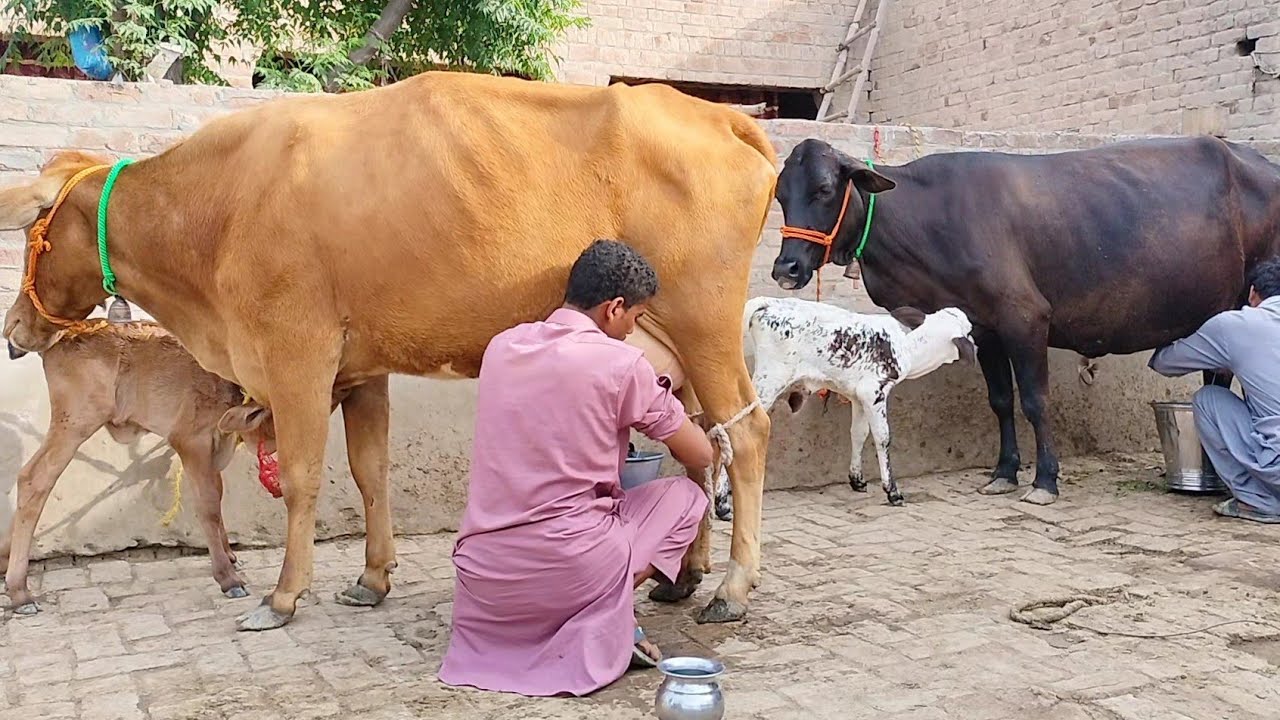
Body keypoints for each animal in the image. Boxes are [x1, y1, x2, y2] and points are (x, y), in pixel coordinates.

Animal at [0, 71, 778, 630]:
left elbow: (305, 477)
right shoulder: (362, 370)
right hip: (671, 349)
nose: (14, 331)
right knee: (699, 444)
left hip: (704, 324)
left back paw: (734, 590)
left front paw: (283, 597)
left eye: (37, 229)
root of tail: (717, 114)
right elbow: (369, 473)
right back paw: (685, 580)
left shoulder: (298, 356)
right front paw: (371, 579)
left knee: (747, 435)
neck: (213, 213)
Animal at [769, 136, 1280, 505]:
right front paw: (1003, 473)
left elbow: (1035, 400)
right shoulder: (985, 327)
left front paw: (1045, 481)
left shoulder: (1025, 318)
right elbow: (1001, 401)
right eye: (779, 194)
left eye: (824, 189)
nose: (786, 268)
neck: (928, 218)